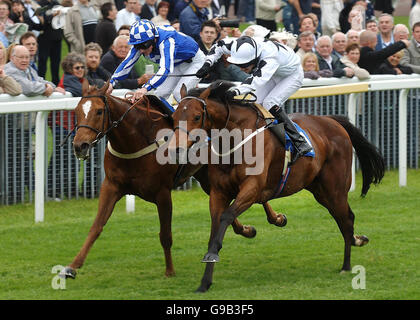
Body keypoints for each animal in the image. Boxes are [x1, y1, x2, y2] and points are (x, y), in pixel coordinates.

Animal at [59, 81, 286, 282]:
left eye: (98, 111)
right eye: (77, 111)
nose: (80, 145)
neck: (135, 140)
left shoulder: (162, 193)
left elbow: (165, 235)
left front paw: (169, 271)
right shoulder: (112, 186)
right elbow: (96, 226)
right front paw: (72, 267)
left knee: (257, 194)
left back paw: (276, 218)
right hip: (206, 177)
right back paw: (248, 229)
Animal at [167, 80, 384, 292]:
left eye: (196, 116)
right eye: (174, 117)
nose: (175, 149)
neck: (234, 140)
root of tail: (333, 121)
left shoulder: (252, 188)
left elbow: (226, 216)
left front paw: (214, 255)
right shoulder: (219, 191)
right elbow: (215, 226)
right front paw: (205, 281)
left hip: (335, 190)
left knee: (346, 218)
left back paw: (346, 265)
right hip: (319, 190)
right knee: (343, 218)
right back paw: (357, 241)